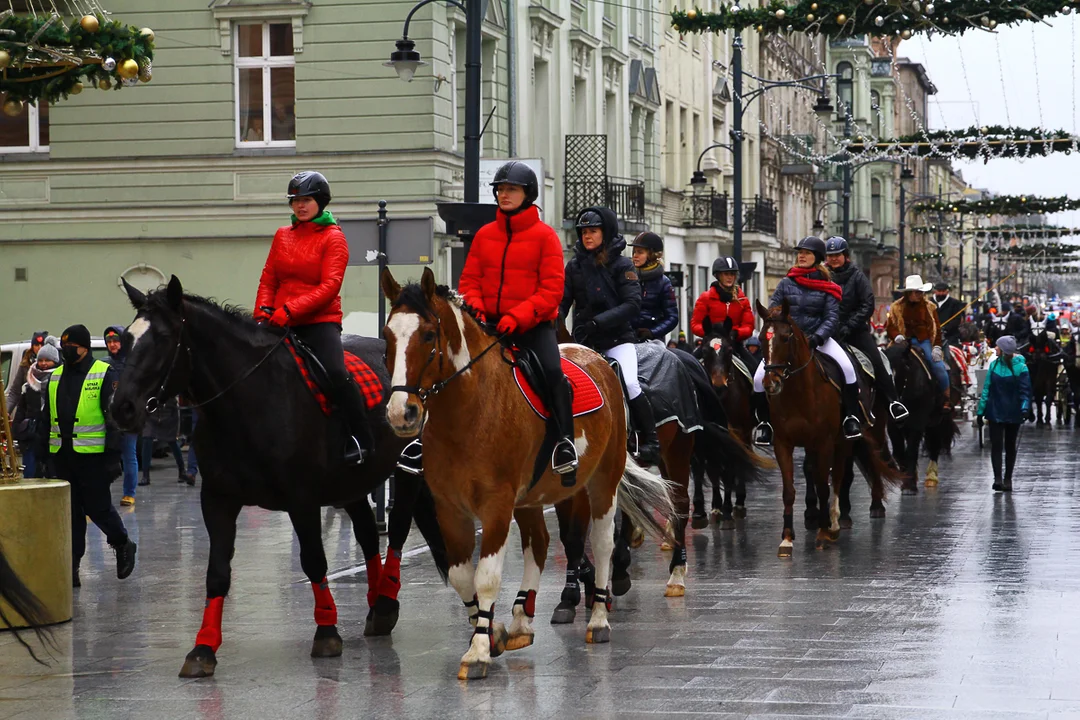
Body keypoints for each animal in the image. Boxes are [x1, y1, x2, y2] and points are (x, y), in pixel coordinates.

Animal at [109, 278, 447, 682]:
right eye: (126, 339)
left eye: (162, 338)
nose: (121, 408)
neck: (248, 401)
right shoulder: (218, 499)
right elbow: (217, 572)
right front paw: (203, 648)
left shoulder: (302, 499)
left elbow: (314, 560)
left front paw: (327, 630)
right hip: (351, 483)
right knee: (368, 535)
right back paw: (375, 604)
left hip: (406, 468)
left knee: (395, 531)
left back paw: (385, 601)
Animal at [375, 269, 669, 682]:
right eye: (388, 336)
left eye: (429, 336)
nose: (402, 412)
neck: (468, 411)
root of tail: (598, 359)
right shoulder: (450, 508)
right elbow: (461, 575)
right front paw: (492, 631)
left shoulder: (497, 504)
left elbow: (485, 576)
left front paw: (478, 651)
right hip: (531, 497)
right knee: (541, 543)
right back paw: (520, 620)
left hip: (602, 482)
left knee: (601, 543)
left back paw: (597, 618)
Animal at [881, 341, 959, 492]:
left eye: (903, 369)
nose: (894, 403)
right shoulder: (893, 425)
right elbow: (899, 451)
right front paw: (907, 478)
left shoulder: (917, 422)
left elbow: (911, 451)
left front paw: (909, 486)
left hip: (936, 420)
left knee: (934, 444)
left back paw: (931, 477)